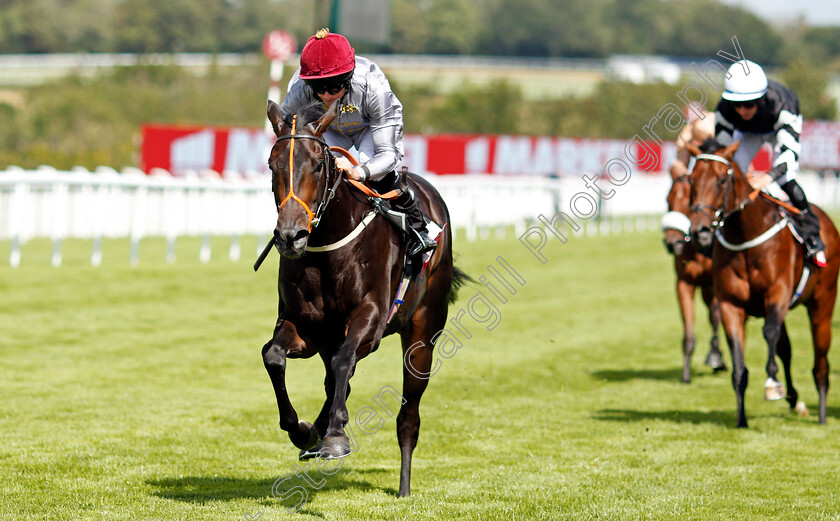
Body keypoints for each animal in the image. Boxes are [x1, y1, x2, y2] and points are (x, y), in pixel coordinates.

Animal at [262, 99, 470, 494]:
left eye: (318, 164)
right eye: (272, 164)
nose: (291, 235)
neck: (328, 246)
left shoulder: (370, 320)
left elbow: (345, 361)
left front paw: (334, 435)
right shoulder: (305, 327)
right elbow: (274, 356)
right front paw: (304, 431)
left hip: (423, 333)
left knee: (407, 416)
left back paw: (403, 487)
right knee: (333, 377)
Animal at [664, 167, 720, 382]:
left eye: (688, 202)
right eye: (668, 200)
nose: (672, 243)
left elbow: (716, 314)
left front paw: (715, 357)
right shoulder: (684, 282)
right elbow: (688, 327)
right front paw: (686, 374)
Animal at [684, 141, 836, 426]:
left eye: (722, 180)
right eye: (691, 180)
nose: (700, 231)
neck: (745, 235)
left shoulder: (778, 293)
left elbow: (769, 333)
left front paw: (772, 383)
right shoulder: (731, 304)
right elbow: (739, 363)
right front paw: (741, 419)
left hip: (822, 304)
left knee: (820, 362)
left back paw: (821, 412)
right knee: (787, 349)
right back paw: (795, 400)